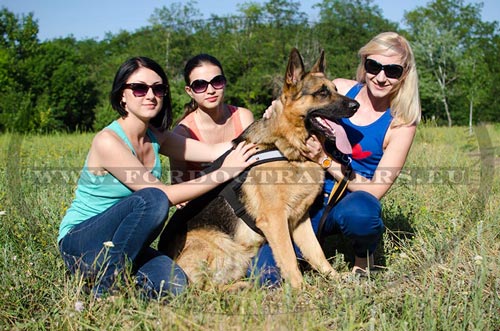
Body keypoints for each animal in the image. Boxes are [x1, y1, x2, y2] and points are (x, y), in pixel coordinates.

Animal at [158, 48, 358, 290]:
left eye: (336, 89)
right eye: (322, 92)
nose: (356, 106)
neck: (285, 147)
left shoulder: (300, 220)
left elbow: (316, 252)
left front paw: (335, 278)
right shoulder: (275, 220)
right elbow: (289, 258)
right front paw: (303, 290)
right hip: (218, 244)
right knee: (200, 289)